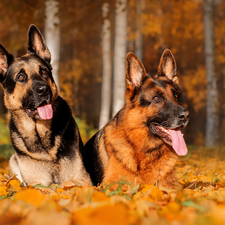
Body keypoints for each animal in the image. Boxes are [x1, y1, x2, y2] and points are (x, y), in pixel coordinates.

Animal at [0, 24, 90, 186]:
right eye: (21, 77)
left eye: (43, 71)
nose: (44, 90)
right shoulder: (36, 183)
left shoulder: (82, 178)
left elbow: (65, 185)